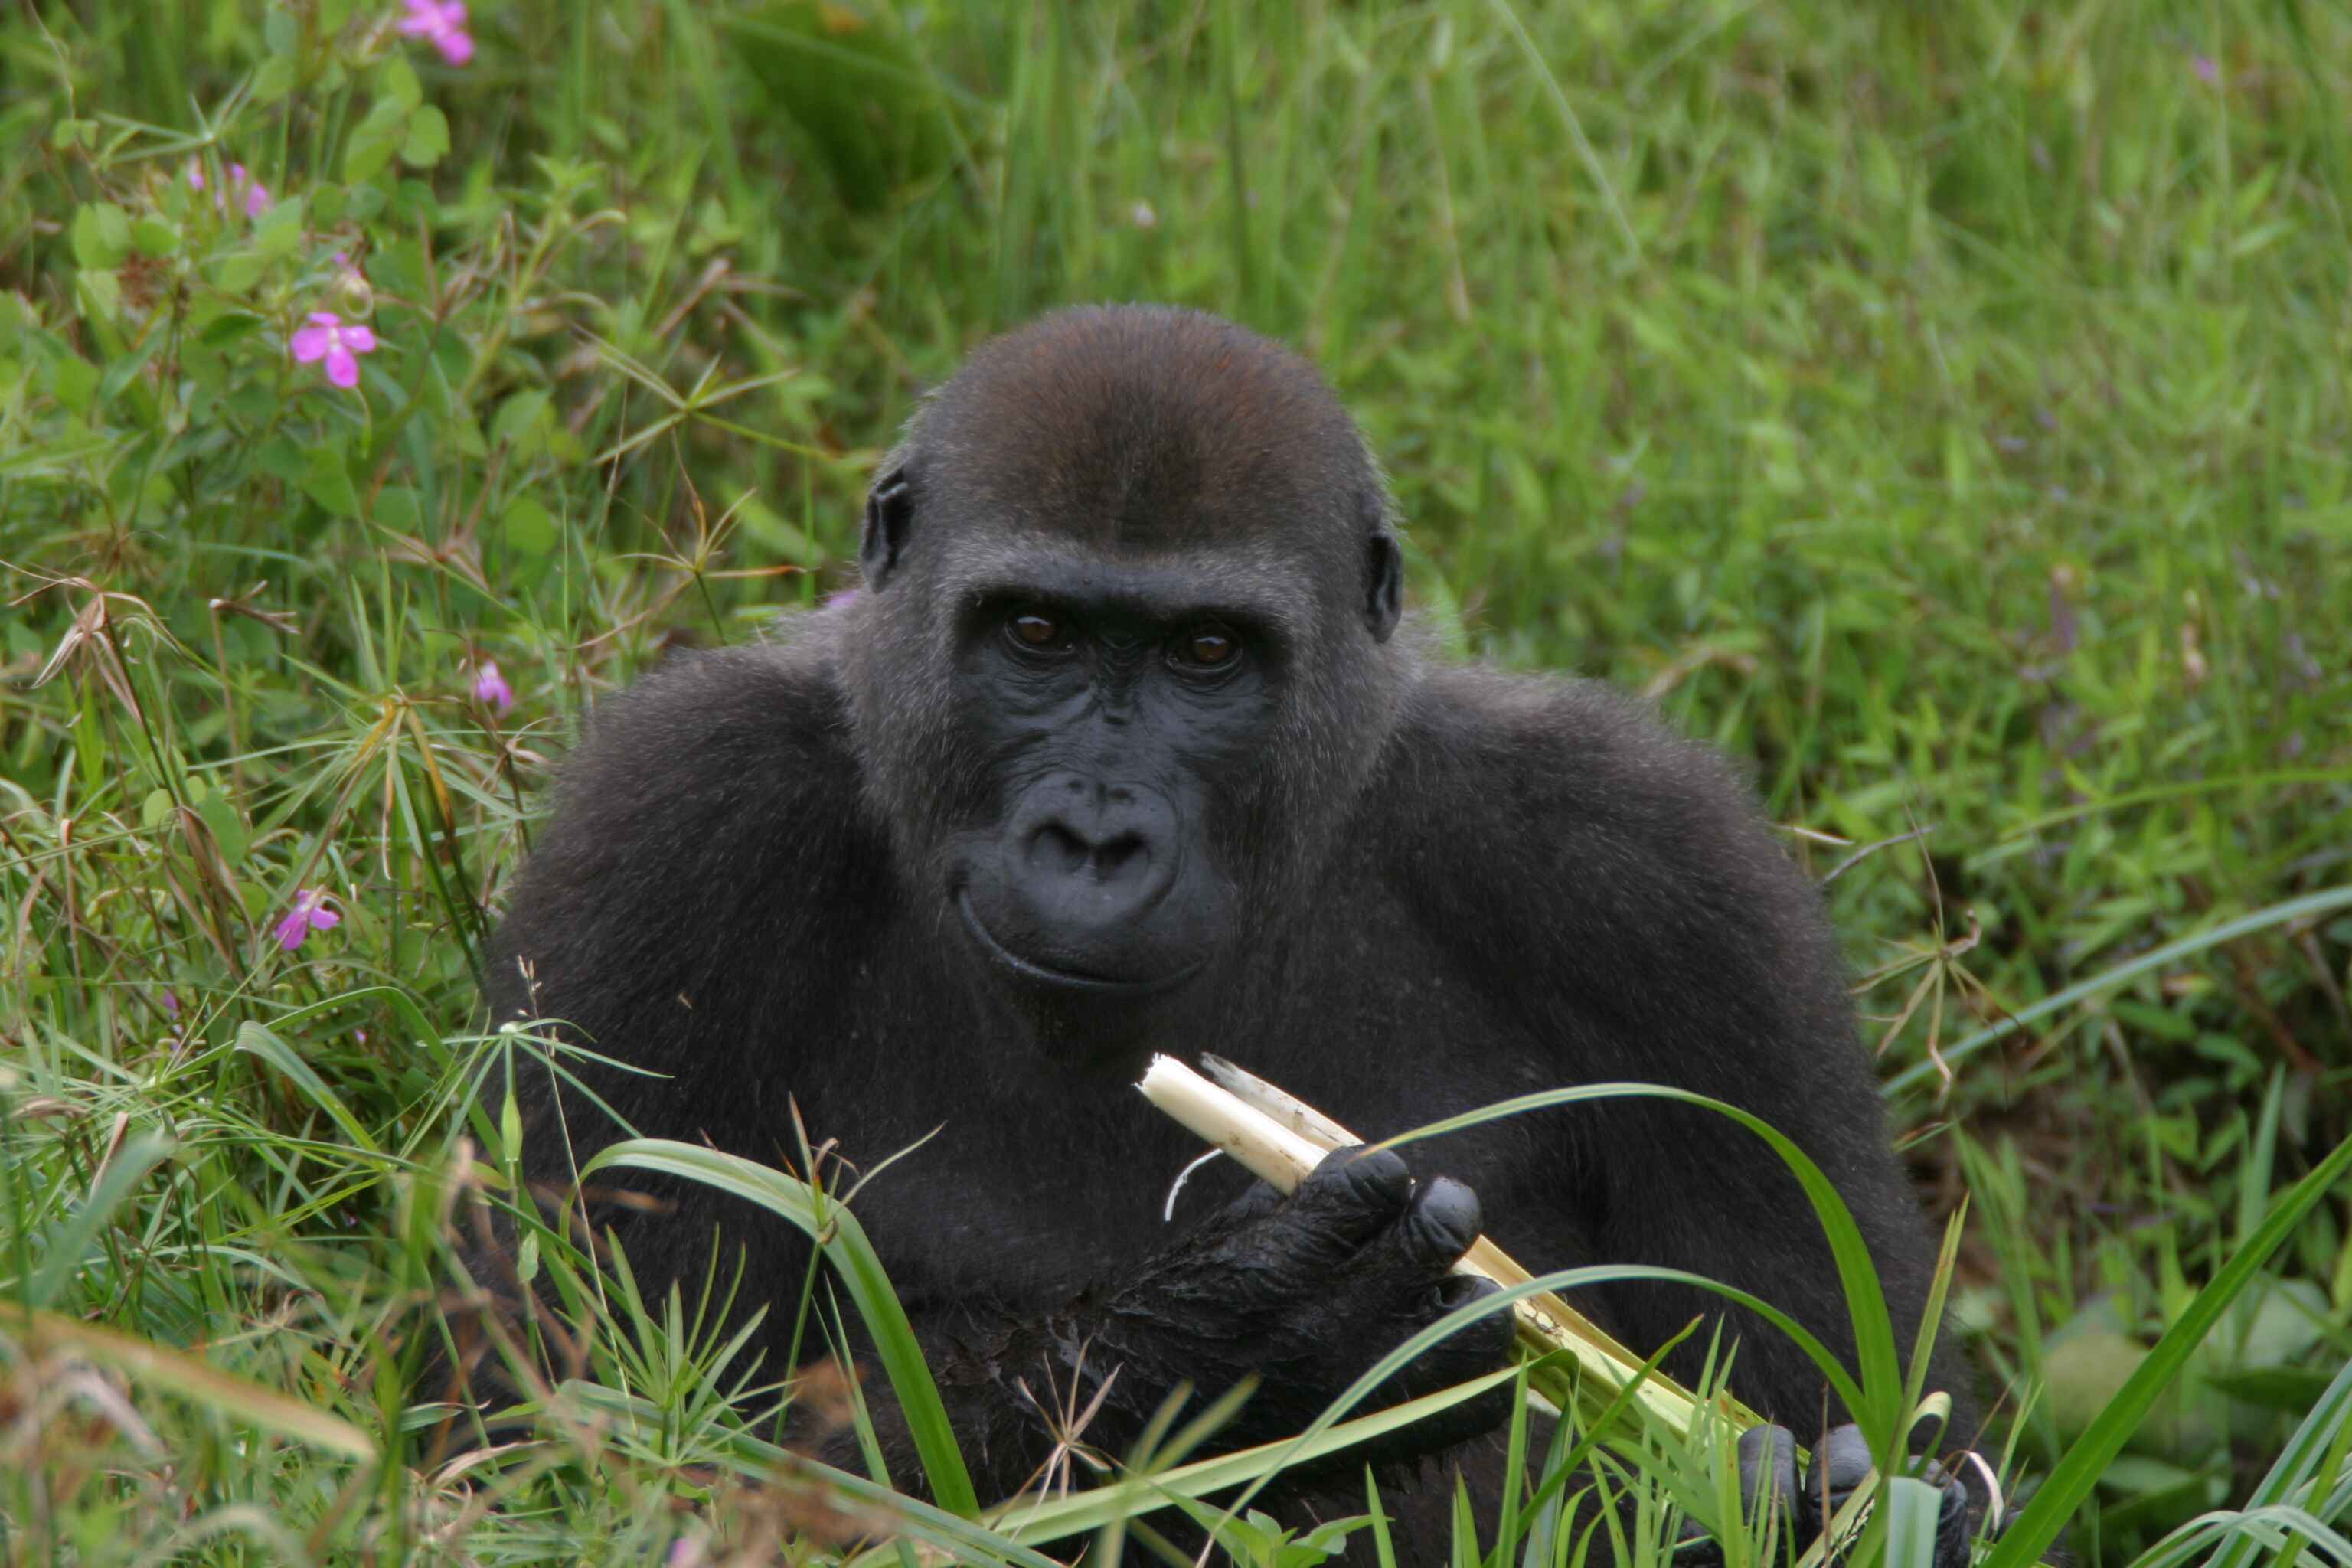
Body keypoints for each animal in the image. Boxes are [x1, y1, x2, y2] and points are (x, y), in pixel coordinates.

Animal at [482, 303, 1984, 1560]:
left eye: (1207, 652)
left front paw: (1797, 1508)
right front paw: (1226, 1348)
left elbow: (1864, 1401)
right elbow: (565, 1449)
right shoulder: (674, 823)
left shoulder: (1665, 873)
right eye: (1035, 633)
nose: (1094, 838)